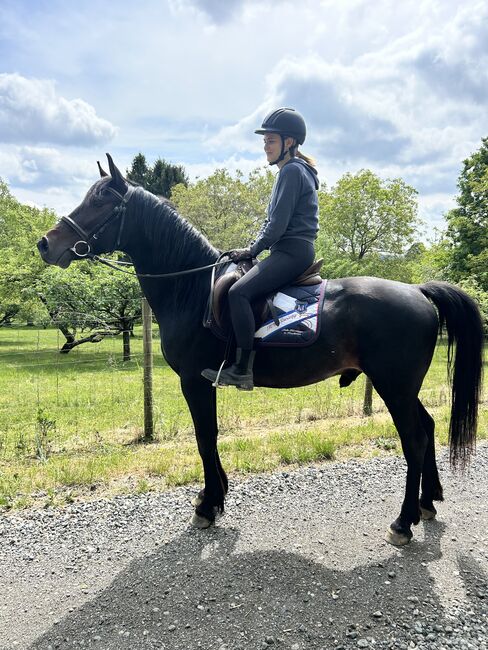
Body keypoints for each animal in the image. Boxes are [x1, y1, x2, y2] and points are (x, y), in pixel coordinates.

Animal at [37, 154, 483, 546]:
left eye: (100, 201)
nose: (45, 244)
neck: (191, 289)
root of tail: (418, 291)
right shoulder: (203, 383)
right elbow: (210, 436)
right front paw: (214, 495)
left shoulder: (193, 382)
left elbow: (205, 436)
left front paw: (209, 505)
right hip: (403, 387)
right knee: (428, 427)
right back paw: (428, 503)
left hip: (394, 386)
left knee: (415, 440)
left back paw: (403, 522)